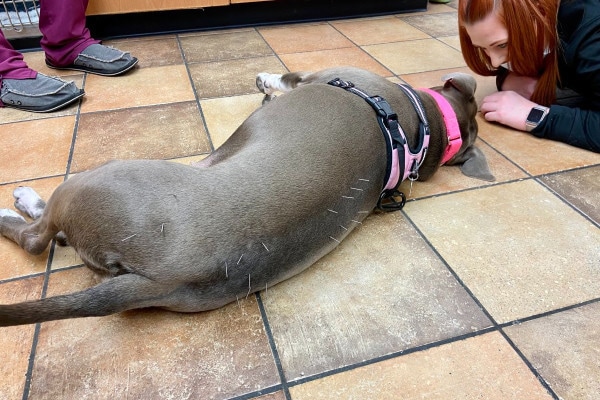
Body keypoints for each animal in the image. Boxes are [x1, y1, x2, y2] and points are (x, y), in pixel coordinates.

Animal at [0, 67, 492, 326]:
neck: (421, 122)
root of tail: (158, 279)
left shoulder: (315, 77)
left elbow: (287, 78)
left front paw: (267, 82)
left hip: (92, 180)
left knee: (37, 237)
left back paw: (18, 204)